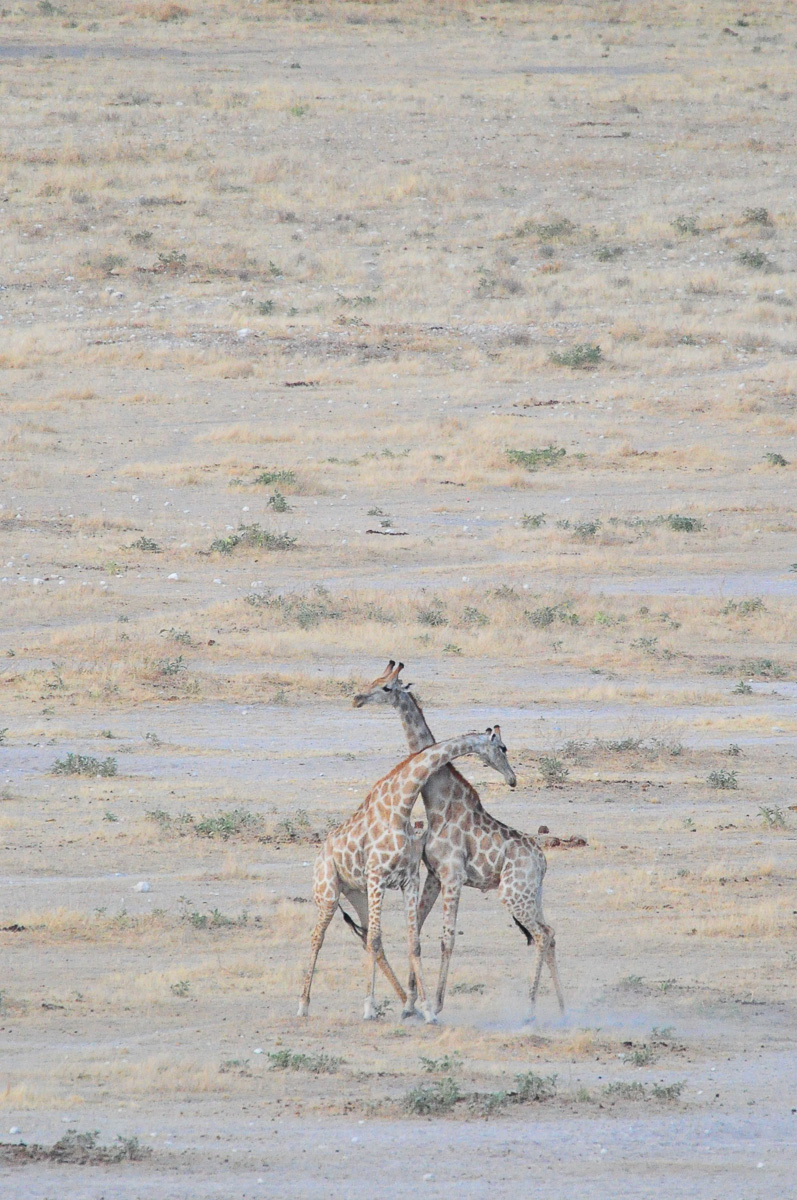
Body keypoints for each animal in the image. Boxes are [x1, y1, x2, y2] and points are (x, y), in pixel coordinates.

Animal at [297, 727, 517, 1024]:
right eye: (503, 748)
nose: (512, 778)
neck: (401, 807)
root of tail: (320, 852)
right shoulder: (377, 876)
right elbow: (377, 939)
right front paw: (369, 1008)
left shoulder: (409, 879)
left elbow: (413, 942)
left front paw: (425, 1009)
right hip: (329, 892)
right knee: (318, 938)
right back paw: (303, 1004)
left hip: (356, 892)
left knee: (366, 937)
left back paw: (402, 999)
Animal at [353, 661, 565, 1021]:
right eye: (373, 680)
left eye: (386, 688)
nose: (356, 698)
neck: (437, 799)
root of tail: (543, 861)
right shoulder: (434, 875)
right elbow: (418, 929)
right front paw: (410, 1004)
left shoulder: (453, 875)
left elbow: (446, 939)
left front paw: (435, 1004)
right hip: (531, 894)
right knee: (549, 934)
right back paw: (562, 1009)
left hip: (512, 893)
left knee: (540, 935)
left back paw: (530, 1009)